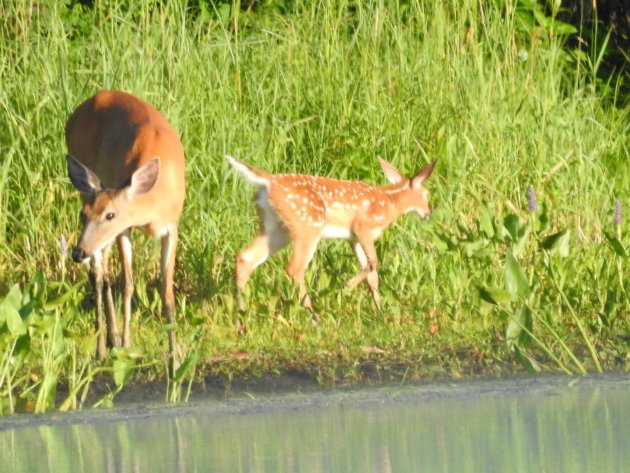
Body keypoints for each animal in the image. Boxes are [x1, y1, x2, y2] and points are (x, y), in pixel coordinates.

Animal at [66, 91, 185, 366]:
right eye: (83, 216)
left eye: (110, 214)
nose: (77, 253)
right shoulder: (124, 228)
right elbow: (128, 284)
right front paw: (128, 346)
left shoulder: (171, 228)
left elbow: (167, 292)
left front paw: (175, 358)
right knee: (98, 274)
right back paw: (103, 347)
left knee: (103, 270)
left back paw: (113, 337)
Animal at [228, 155, 440, 310]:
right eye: (426, 195)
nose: (428, 213)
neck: (390, 202)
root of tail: (269, 182)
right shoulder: (363, 227)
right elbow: (373, 262)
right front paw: (344, 289)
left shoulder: (353, 238)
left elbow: (372, 274)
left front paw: (380, 310)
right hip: (307, 225)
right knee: (295, 268)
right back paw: (313, 315)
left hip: (276, 228)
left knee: (245, 258)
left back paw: (241, 313)